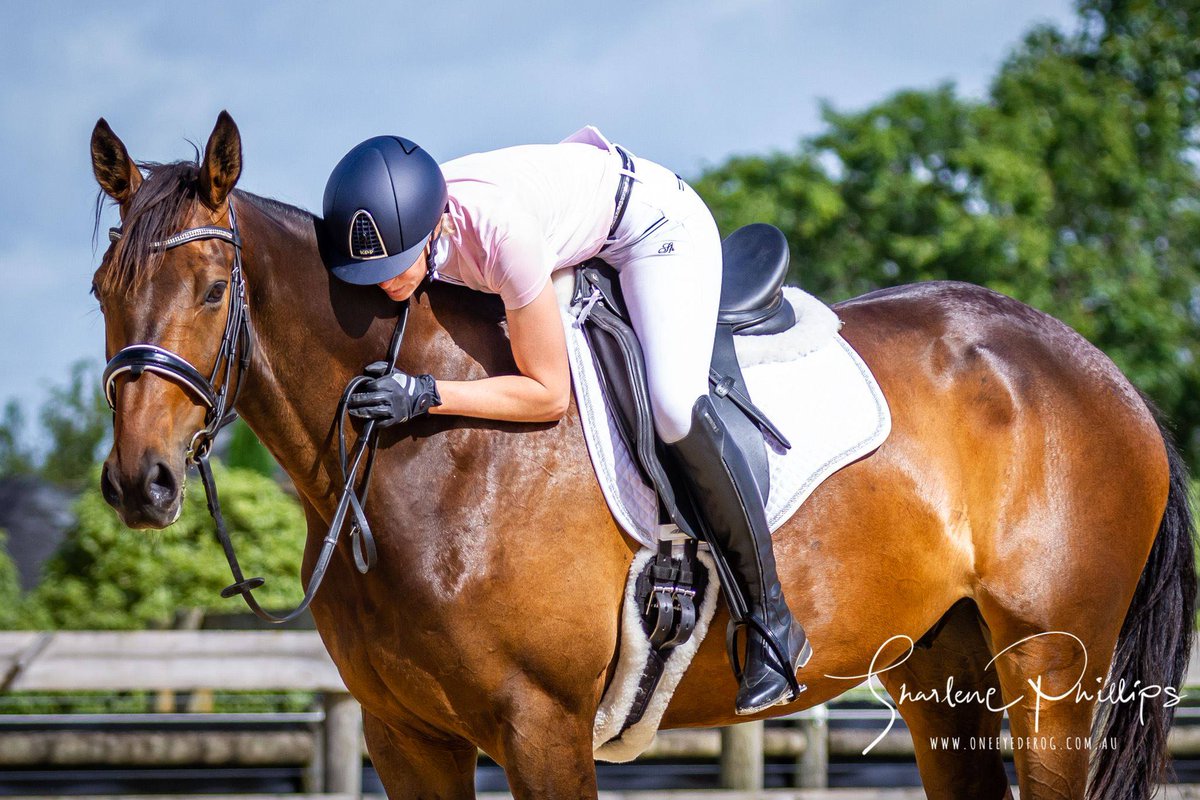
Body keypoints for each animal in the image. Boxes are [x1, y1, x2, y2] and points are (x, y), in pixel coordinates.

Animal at [89, 111, 1194, 800]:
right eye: (105, 288)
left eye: (213, 292)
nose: (140, 483)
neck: (414, 456)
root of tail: (1103, 372)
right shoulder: (409, 737)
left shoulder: (541, 723)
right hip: (940, 661)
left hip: (1051, 666)